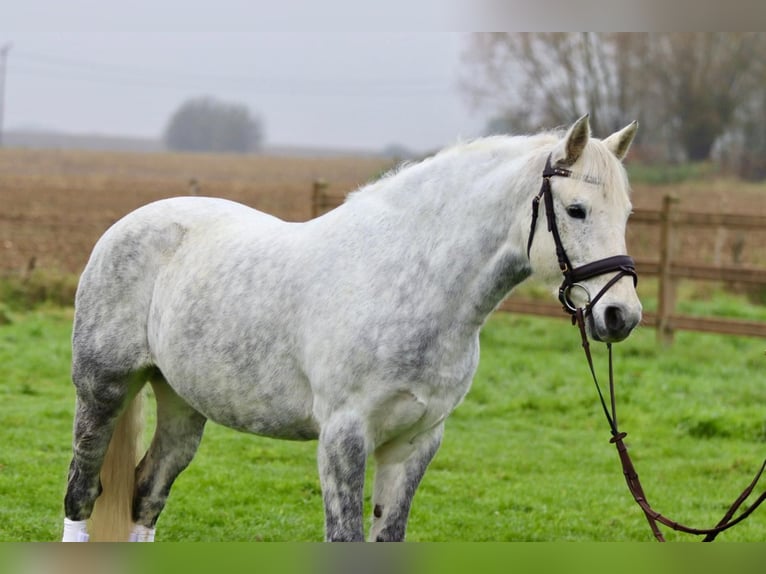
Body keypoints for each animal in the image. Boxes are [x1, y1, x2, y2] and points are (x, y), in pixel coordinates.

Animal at [63, 115, 644, 544]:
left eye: (627, 213)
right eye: (576, 209)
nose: (622, 316)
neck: (409, 280)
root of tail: (127, 225)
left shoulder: (416, 442)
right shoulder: (344, 436)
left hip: (183, 404)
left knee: (147, 494)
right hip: (102, 391)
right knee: (81, 493)